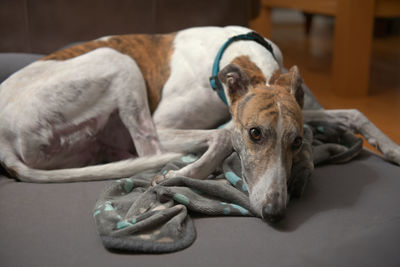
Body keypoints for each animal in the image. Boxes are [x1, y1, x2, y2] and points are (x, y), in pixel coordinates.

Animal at [0, 26, 400, 222]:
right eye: (255, 133)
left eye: (297, 142)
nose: (274, 212)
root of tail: (4, 140)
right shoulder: (165, 125)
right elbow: (224, 137)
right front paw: (186, 173)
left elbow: (352, 112)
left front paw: (390, 147)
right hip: (118, 63)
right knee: (149, 152)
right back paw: (172, 174)